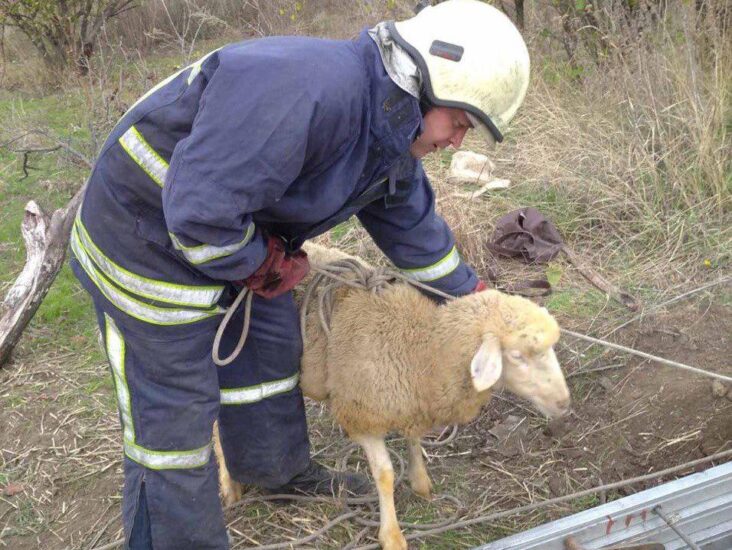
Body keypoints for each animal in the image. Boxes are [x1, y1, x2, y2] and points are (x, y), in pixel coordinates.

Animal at [213, 246, 572, 550]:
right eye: (517, 356)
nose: (564, 403)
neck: (423, 349)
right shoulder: (362, 415)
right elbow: (384, 475)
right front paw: (392, 535)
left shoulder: (411, 402)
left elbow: (414, 439)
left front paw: (420, 481)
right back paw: (230, 485)